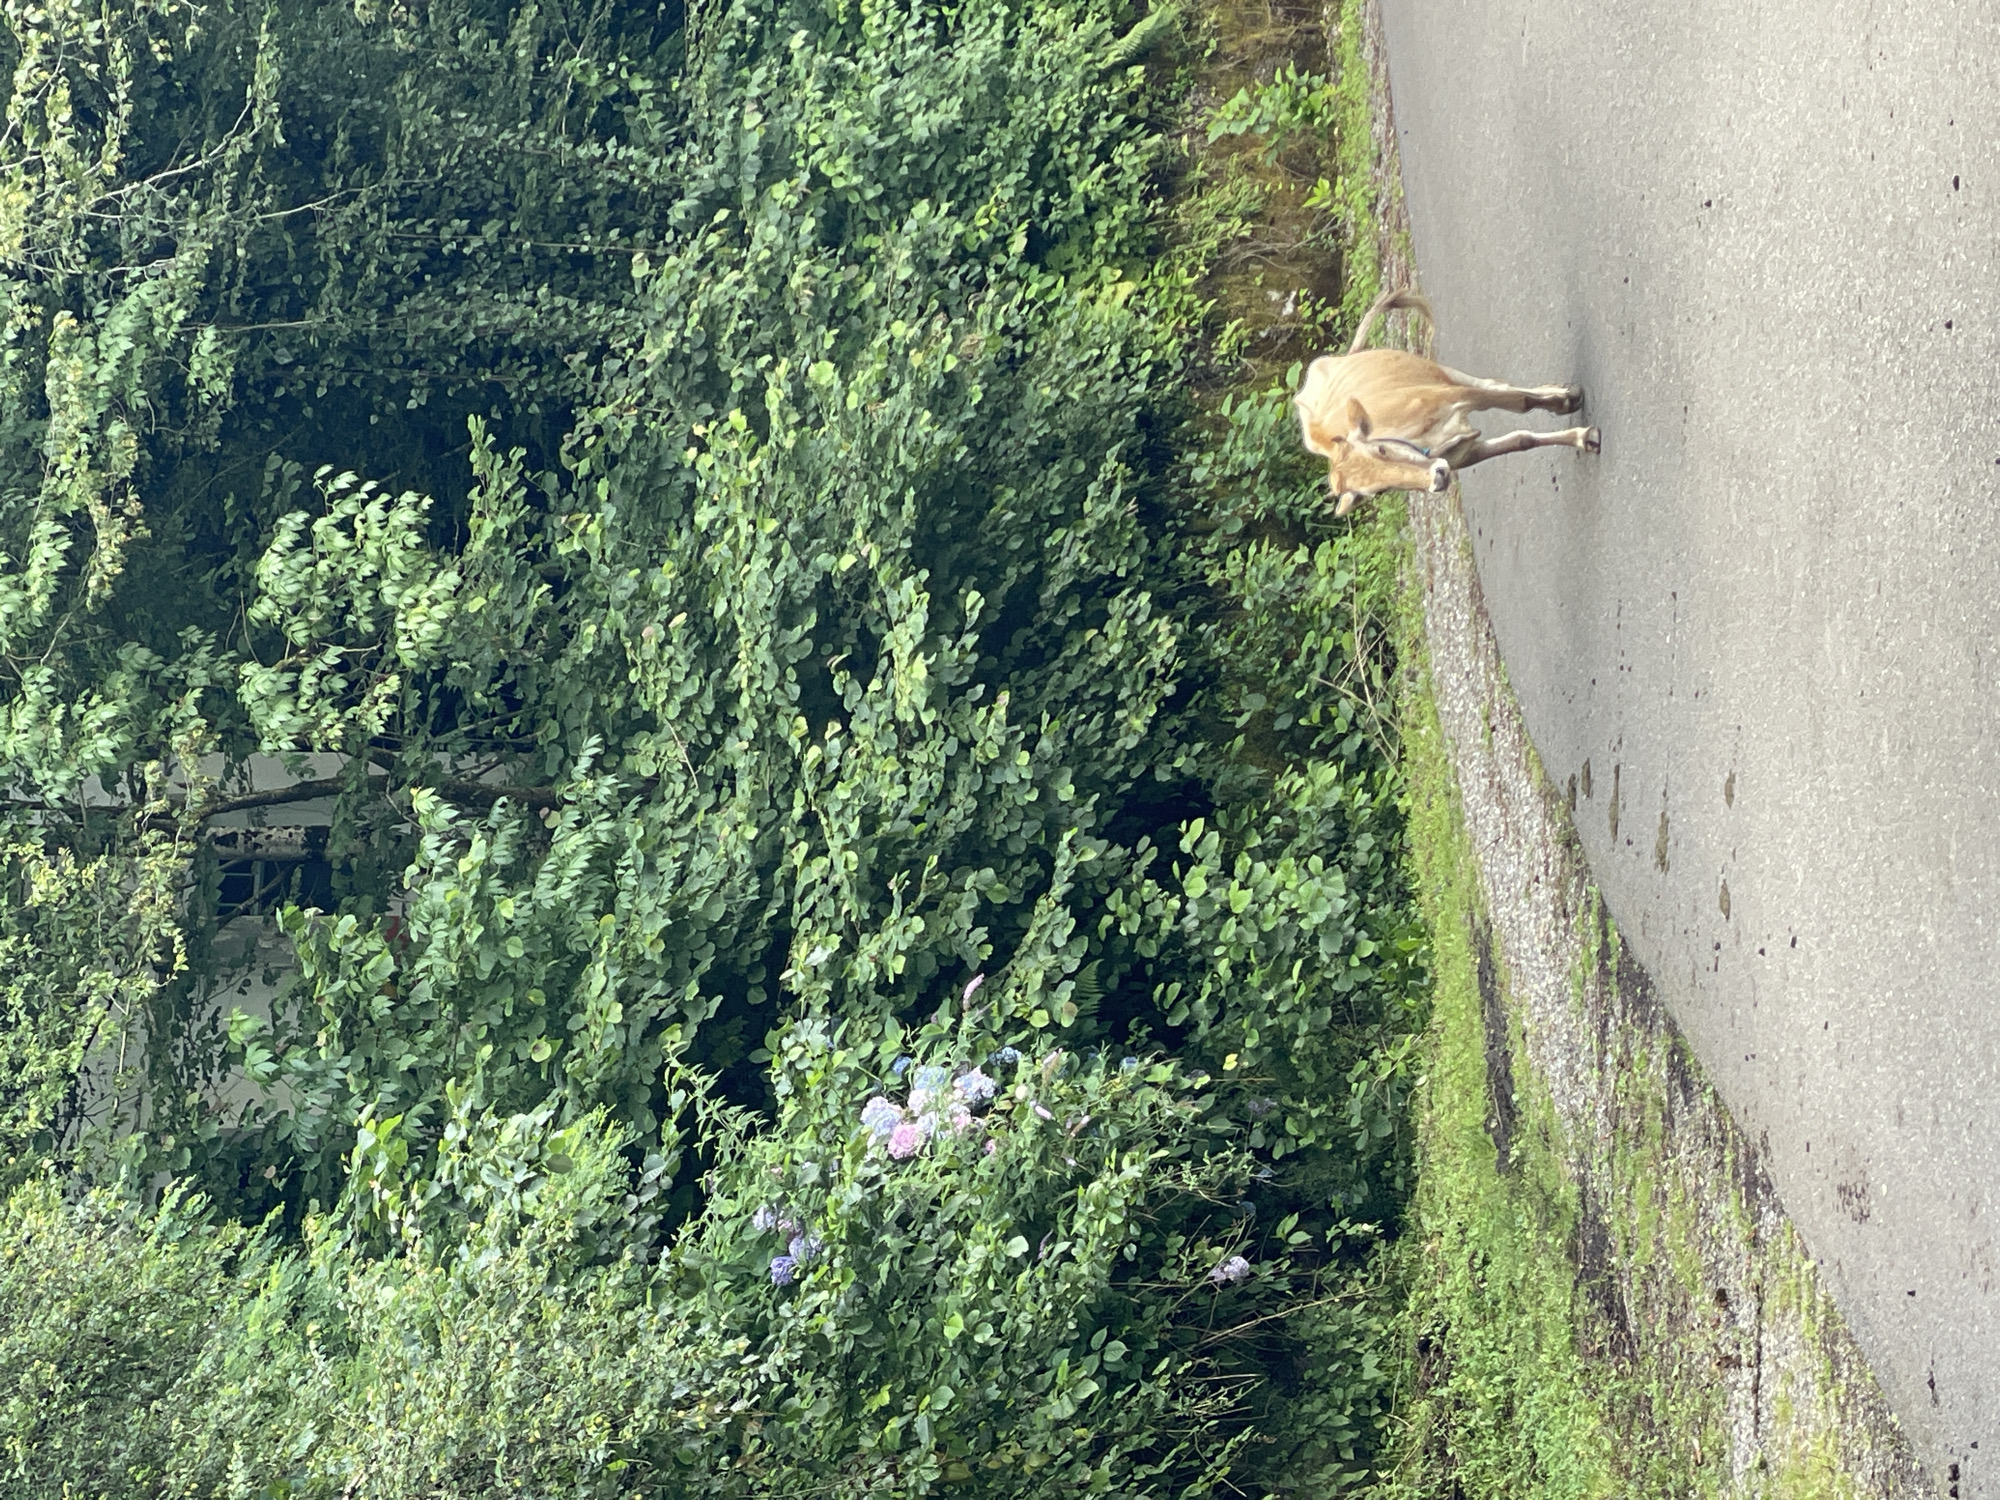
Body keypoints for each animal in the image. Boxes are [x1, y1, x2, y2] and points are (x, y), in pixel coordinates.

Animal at [1295, 287, 1600, 516]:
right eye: (1378, 491)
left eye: (1381, 450)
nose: (1437, 477)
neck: (1426, 439)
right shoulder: (1463, 454)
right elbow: (1521, 440)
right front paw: (1583, 438)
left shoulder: (1456, 395)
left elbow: (1518, 401)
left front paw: (1577, 420)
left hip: (1442, 372)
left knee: (1496, 384)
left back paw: (1563, 396)